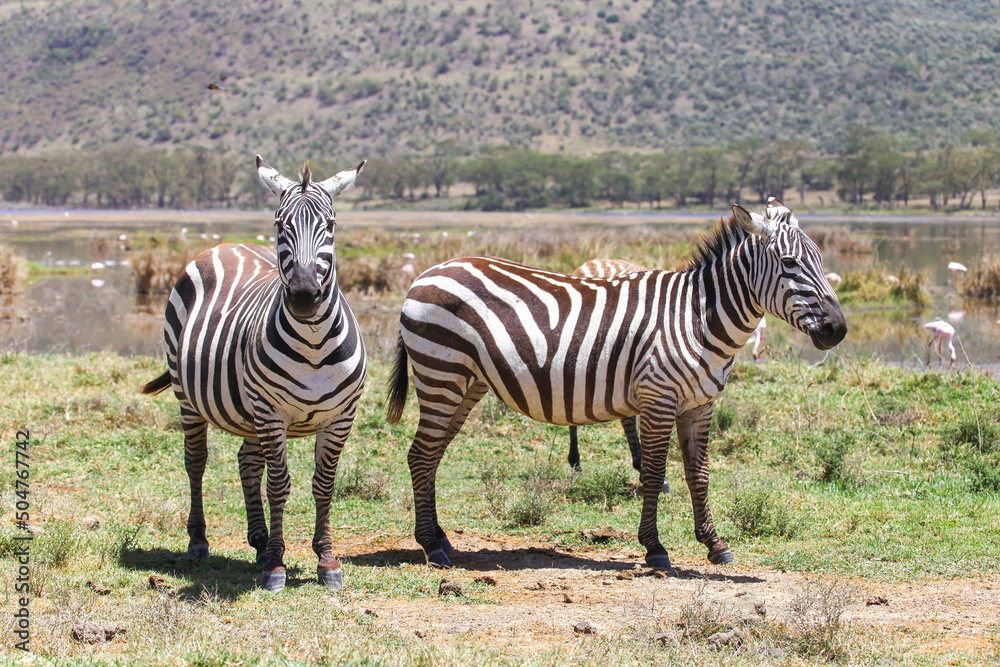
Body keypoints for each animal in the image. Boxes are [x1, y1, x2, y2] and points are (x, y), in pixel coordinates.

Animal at [140, 156, 367, 592]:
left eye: (330, 224)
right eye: (280, 225)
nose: (303, 295)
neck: (314, 343)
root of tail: (227, 244)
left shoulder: (340, 417)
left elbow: (324, 485)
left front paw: (326, 560)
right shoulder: (271, 411)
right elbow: (278, 485)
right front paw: (277, 565)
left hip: (248, 411)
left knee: (247, 461)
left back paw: (260, 541)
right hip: (189, 395)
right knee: (196, 461)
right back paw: (200, 541)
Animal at [386, 199, 846, 573]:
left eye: (822, 260)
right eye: (789, 263)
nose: (838, 330)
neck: (697, 317)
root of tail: (427, 272)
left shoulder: (700, 405)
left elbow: (699, 475)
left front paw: (715, 545)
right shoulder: (659, 396)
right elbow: (655, 473)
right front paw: (656, 549)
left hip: (467, 383)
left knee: (431, 456)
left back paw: (441, 538)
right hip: (441, 373)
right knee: (420, 455)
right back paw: (431, 546)